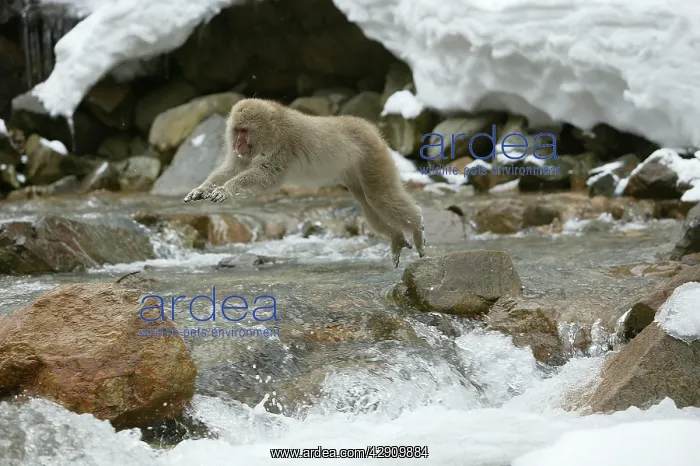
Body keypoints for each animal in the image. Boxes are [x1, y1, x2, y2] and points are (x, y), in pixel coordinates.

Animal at [183, 98, 425, 268]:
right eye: (236, 131)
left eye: (245, 131)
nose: (238, 144)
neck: (271, 130)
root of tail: (368, 126)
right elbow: (233, 168)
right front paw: (202, 190)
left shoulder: (282, 146)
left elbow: (267, 176)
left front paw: (225, 190)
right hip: (354, 171)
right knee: (367, 203)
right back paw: (396, 238)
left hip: (373, 157)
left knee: (380, 197)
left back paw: (416, 228)